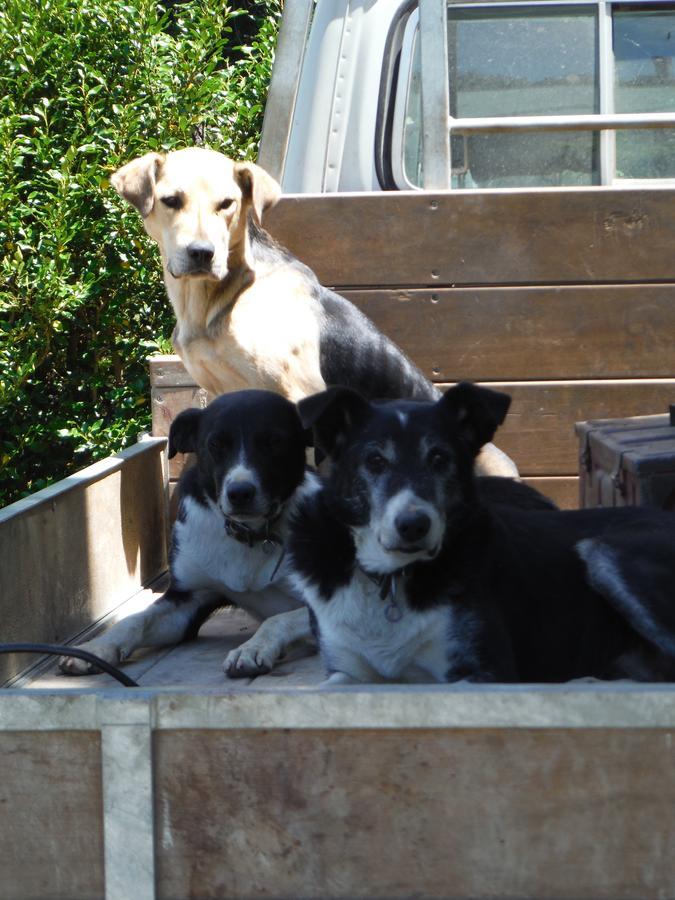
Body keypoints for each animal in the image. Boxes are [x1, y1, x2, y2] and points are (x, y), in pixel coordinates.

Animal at [61, 390, 316, 680]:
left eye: (273, 441)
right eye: (215, 444)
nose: (240, 493)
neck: (250, 535)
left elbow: (279, 619)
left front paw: (252, 648)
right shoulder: (187, 600)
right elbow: (136, 619)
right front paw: (96, 648)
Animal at [292, 384, 675, 684]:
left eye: (439, 458)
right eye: (374, 460)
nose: (414, 525)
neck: (394, 578)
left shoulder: (486, 671)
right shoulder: (346, 672)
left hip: (603, 552)